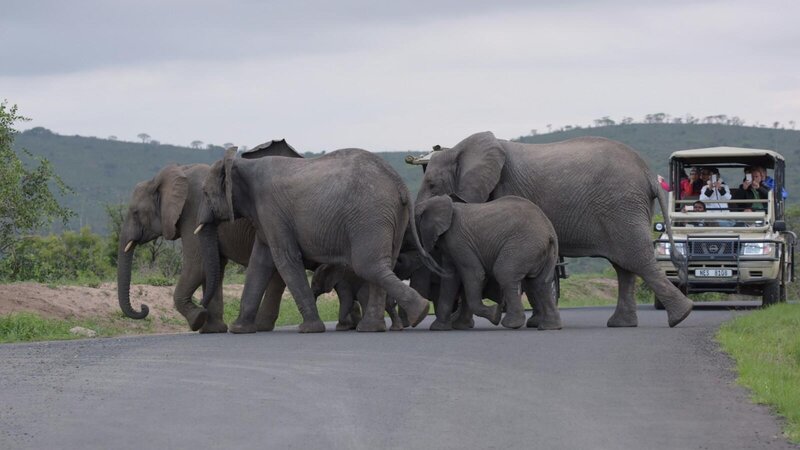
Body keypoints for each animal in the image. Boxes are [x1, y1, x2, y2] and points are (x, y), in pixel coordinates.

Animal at [114, 139, 298, 332]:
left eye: (135, 213)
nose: (143, 307)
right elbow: (214, 267)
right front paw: (212, 329)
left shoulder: (191, 213)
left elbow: (198, 265)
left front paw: (197, 320)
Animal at [196, 149, 440, 334]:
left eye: (206, 193)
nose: (200, 308)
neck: (242, 164)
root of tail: (399, 182)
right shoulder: (264, 217)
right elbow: (260, 263)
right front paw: (239, 330)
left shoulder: (272, 211)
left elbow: (285, 259)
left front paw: (310, 329)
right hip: (392, 216)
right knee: (383, 265)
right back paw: (375, 327)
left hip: (370, 215)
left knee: (368, 266)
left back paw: (417, 313)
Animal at [412, 194, 564, 330]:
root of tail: (550, 231)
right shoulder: (449, 246)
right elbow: (450, 279)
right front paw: (438, 328)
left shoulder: (458, 241)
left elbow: (475, 274)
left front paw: (495, 315)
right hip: (541, 251)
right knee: (540, 283)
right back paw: (550, 327)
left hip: (523, 245)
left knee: (505, 273)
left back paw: (511, 324)